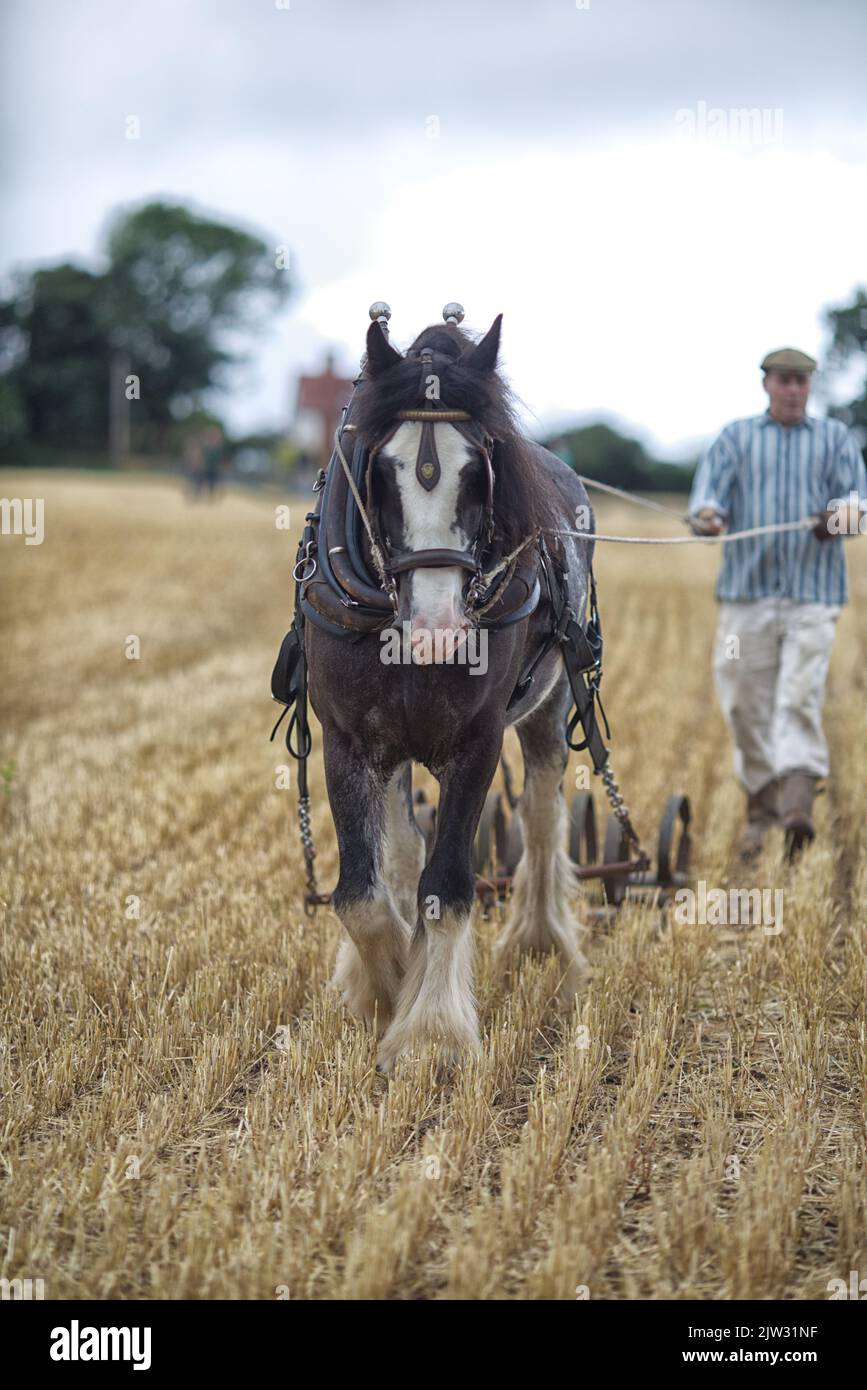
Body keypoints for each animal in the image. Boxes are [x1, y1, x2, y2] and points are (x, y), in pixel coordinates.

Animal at [301, 311, 596, 1072]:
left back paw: (540, 940)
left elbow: (449, 887)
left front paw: (431, 1033)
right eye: (380, 469)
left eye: (479, 468)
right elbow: (361, 892)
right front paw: (381, 987)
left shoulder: (476, 742)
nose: (437, 633)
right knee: (404, 845)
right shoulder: (349, 740)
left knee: (544, 818)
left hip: (552, 704)